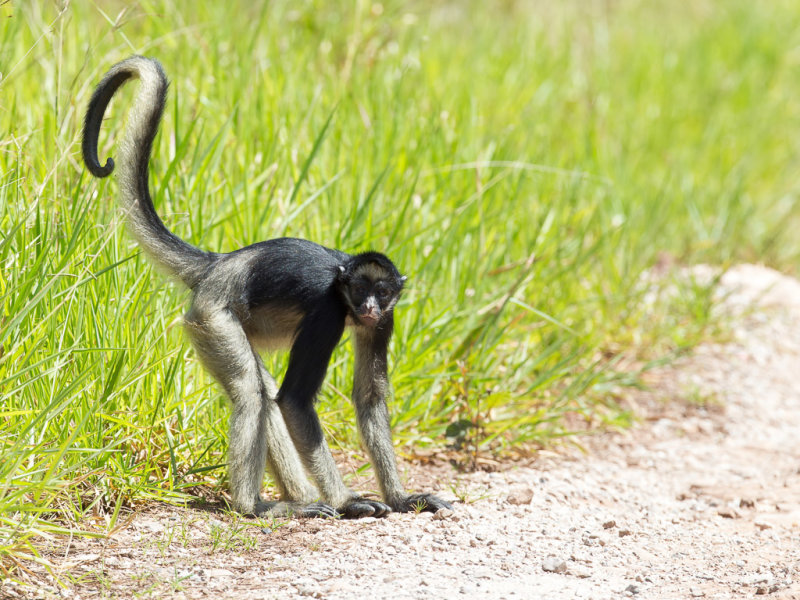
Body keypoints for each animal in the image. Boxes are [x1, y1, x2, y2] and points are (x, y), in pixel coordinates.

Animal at [85, 54, 456, 516]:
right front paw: (349, 500)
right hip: (213, 314)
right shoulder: (328, 311)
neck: (345, 295)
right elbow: (295, 399)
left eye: (382, 293)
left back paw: (298, 499)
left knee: (261, 389)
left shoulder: (385, 321)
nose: (368, 307)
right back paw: (255, 506)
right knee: (251, 389)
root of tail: (221, 263)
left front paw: (403, 498)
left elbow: (369, 400)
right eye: (358, 291)